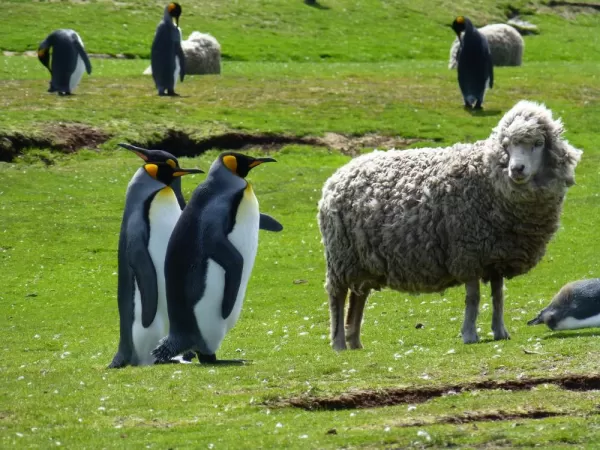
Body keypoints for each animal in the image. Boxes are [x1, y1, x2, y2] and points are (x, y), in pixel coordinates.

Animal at [316, 100, 584, 350]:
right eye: (506, 145)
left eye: (538, 143)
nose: (516, 169)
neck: (489, 180)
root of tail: (339, 174)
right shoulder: (468, 253)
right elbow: (473, 298)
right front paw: (469, 335)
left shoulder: (495, 255)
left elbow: (498, 296)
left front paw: (500, 332)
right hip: (340, 256)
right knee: (337, 297)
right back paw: (338, 343)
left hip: (361, 261)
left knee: (358, 297)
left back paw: (354, 342)